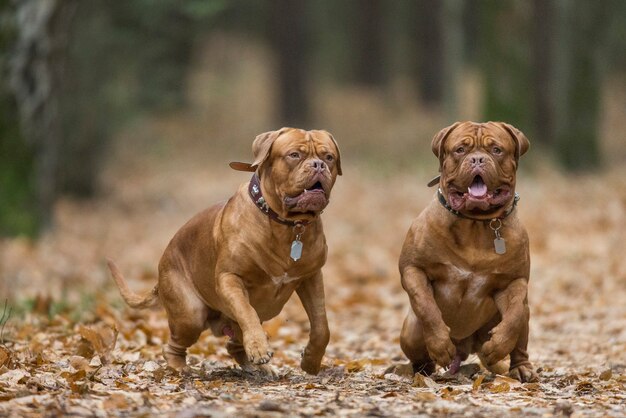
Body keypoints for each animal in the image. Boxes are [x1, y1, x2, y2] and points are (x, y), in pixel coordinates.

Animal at [107, 127, 342, 376]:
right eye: (294, 155)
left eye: (329, 157)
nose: (319, 165)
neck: (288, 225)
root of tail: (160, 272)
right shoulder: (230, 278)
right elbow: (247, 311)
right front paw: (259, 347)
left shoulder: (311, 278)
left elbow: (321, 325)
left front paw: (311, 361)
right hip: (190, 314)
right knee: (173, 346)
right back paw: (181, 368)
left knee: (234, 344)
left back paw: (260, 368)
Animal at [398, 120, 532, 382]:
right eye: (460, 150)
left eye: (496, 150)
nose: (477, 159)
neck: (476, 224)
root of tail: (466, 346)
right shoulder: (413, 269)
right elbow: (426, 307)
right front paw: (440, 344)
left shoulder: (514, 281)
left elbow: (513, 317)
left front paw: (497, 346)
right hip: (409, 333)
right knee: (421, 356)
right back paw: (425, 370)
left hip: (525, 315)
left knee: (520, 333)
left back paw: (521, 368)